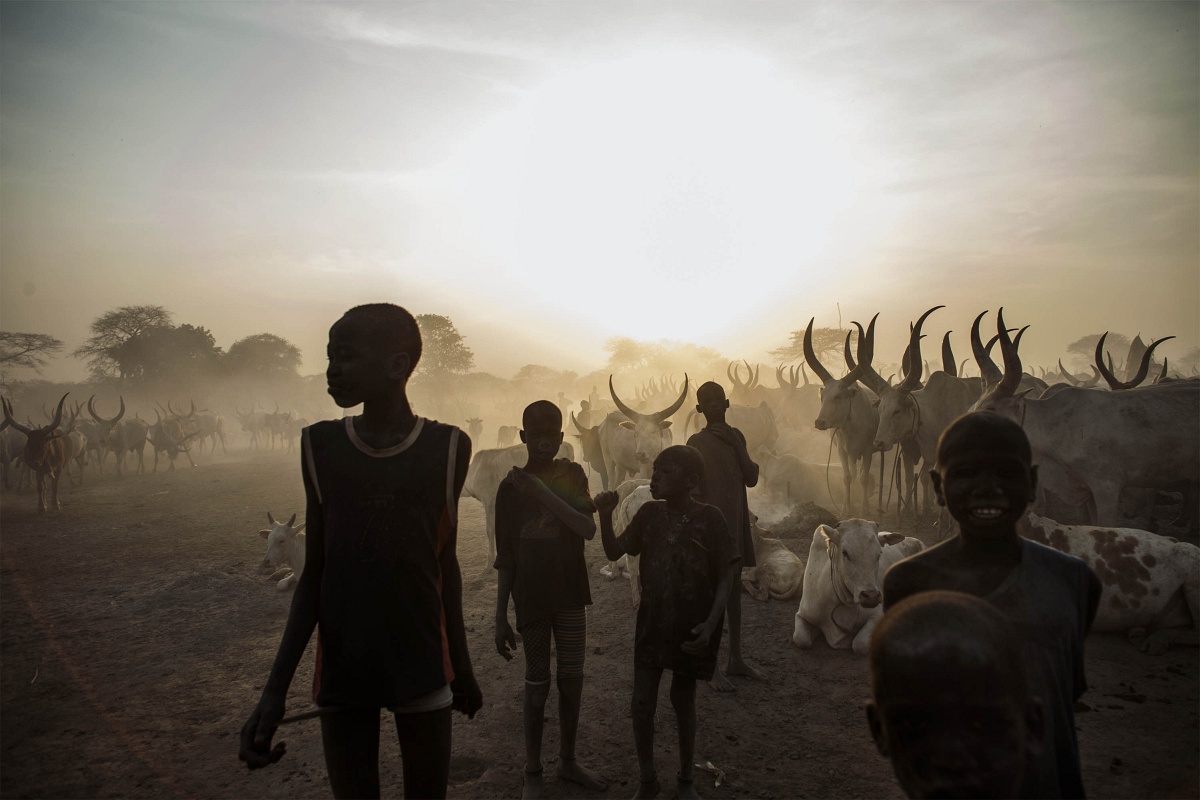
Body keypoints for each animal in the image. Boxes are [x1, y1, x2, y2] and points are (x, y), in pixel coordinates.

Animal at [792, 520, 921, 657]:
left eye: (879, 554)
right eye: (845, 553)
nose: (871, 596)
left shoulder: (877, 614)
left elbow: (860, 644)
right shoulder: (803, 614)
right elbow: (801, 639)